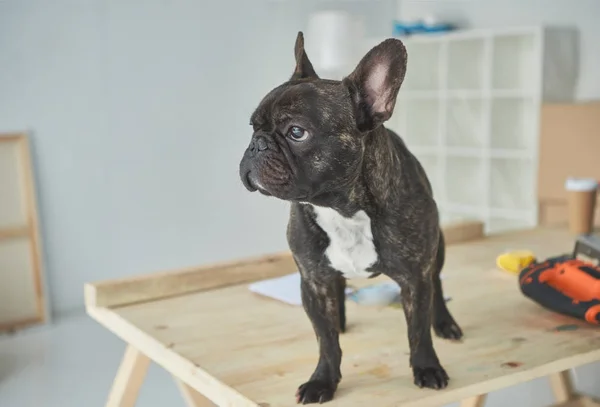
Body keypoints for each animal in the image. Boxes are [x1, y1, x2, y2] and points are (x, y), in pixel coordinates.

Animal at [237, 31, 462, 404]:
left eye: (296, 132)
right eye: (253, 127)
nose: (257, 145)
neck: (343, 208)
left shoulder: (415, 278)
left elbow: (418, 330)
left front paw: (427, 367)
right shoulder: (313, 280)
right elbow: (326, 341)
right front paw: (323, 380)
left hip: (437, 249)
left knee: (438, 283)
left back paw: (444, 322)